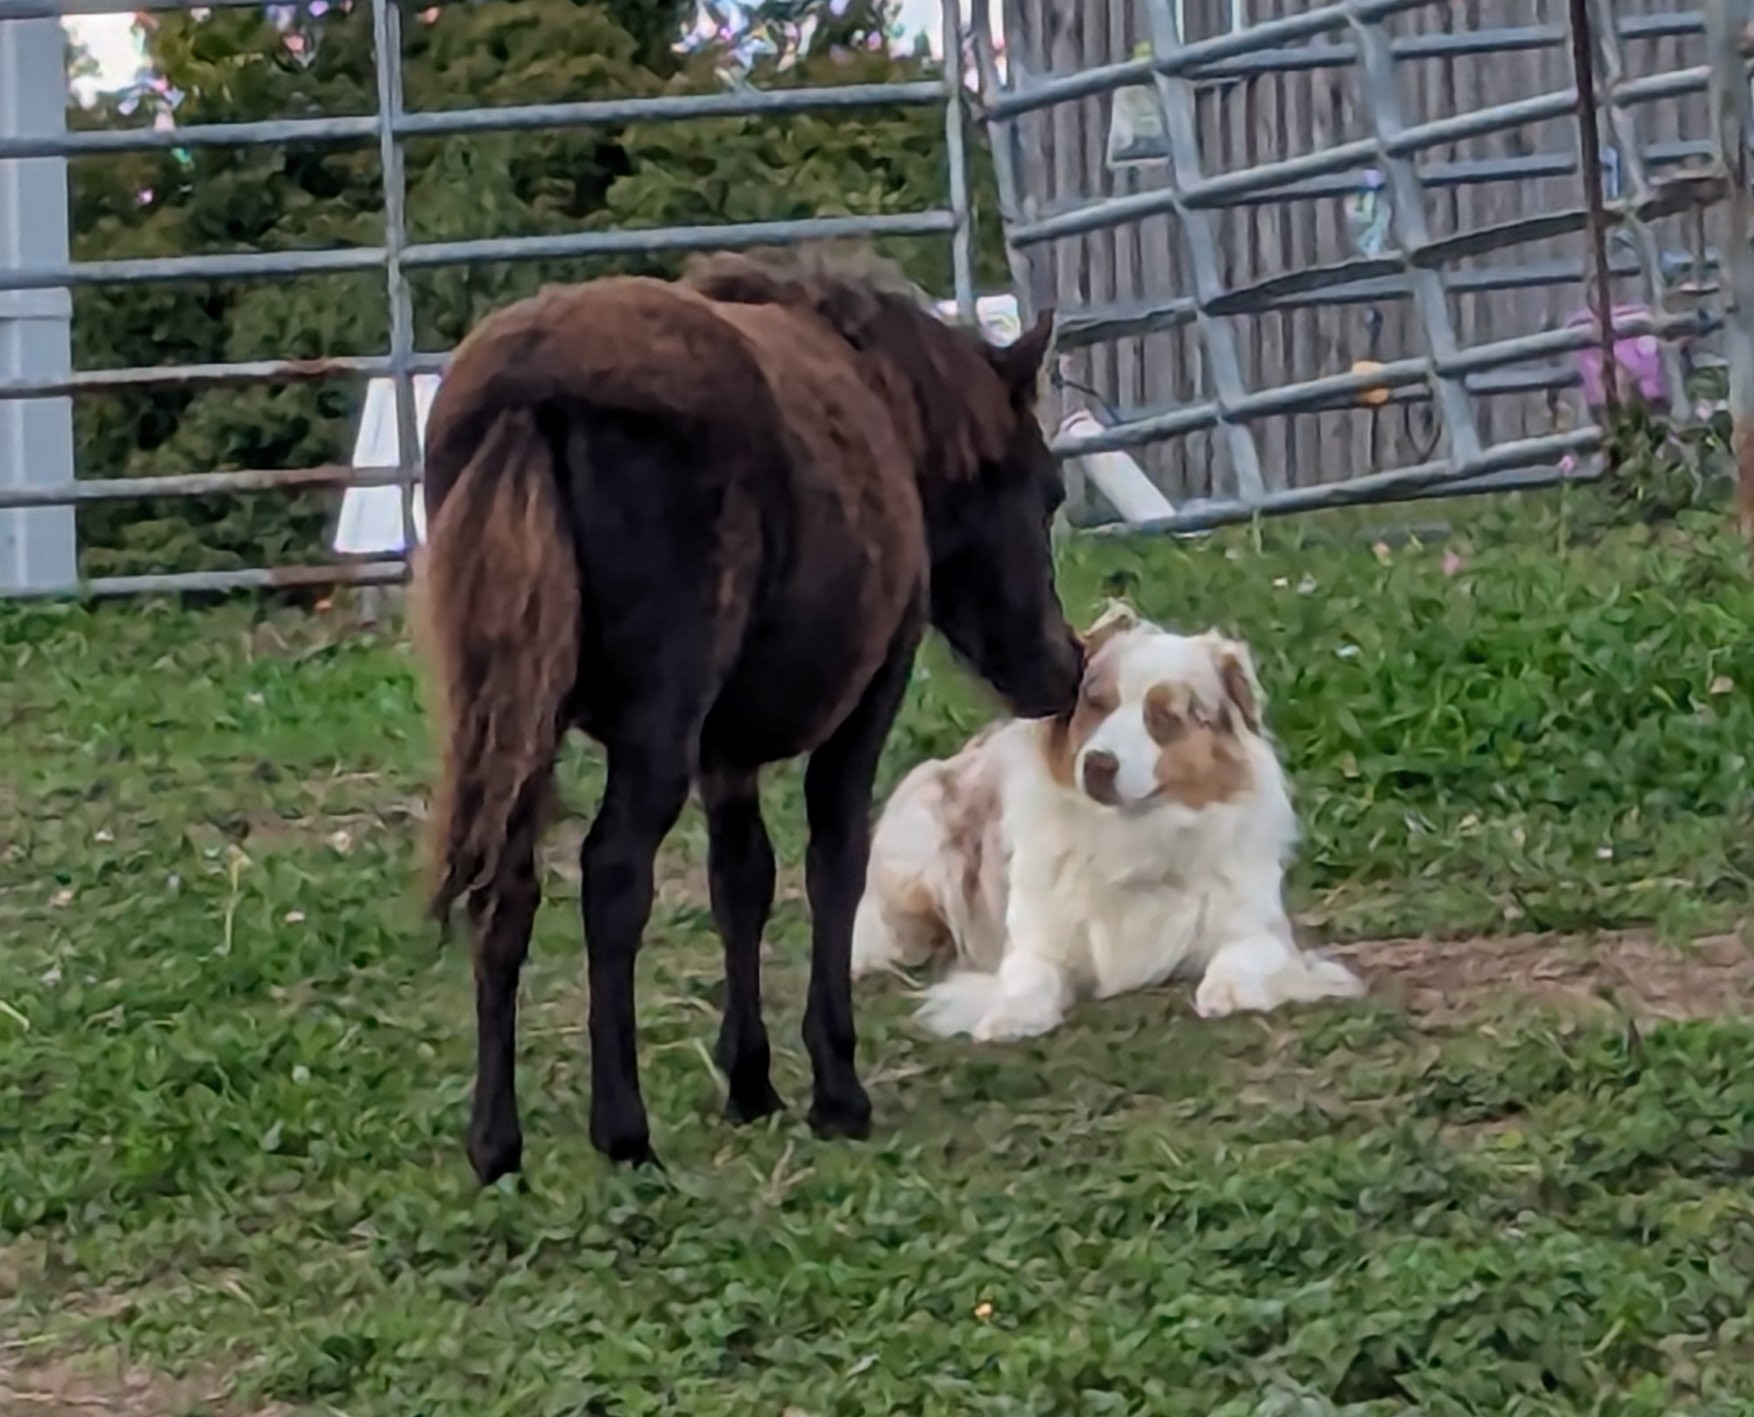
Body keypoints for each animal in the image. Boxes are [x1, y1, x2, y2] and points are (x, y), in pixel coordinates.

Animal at [415, 245, 1084, 1182]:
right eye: (1049, 491)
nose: (1065, 667)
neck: (883, 395)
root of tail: (528, 391)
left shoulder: (722, 750)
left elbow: (742, 882)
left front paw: (751, 1079)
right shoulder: (864, 699)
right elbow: (834, 862)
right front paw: (835, 1087)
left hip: (521, 726)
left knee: (505, 891)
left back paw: (495, 1142)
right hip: (652, 727)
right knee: (612, 877)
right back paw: (623, 1130)